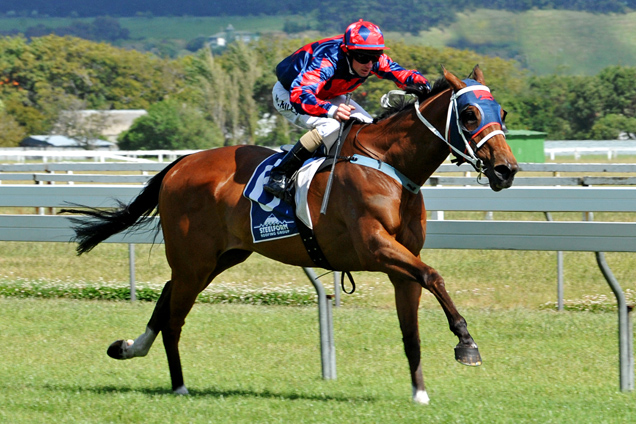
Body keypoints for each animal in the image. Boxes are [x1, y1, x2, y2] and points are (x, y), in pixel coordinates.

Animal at [67, 66, 520, 404]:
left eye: (501, 112)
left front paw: (420, 394)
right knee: (176, 315)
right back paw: (178, 385)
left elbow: (411, 328)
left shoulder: (400, 263)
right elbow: (434, 276)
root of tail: (179, 165)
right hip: (194, 259)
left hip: (219, 257)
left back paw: (131, 347)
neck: (389, 165)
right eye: (469, 115)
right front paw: (466, 343)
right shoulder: (375, 248)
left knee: (165, 295)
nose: (506, 170)